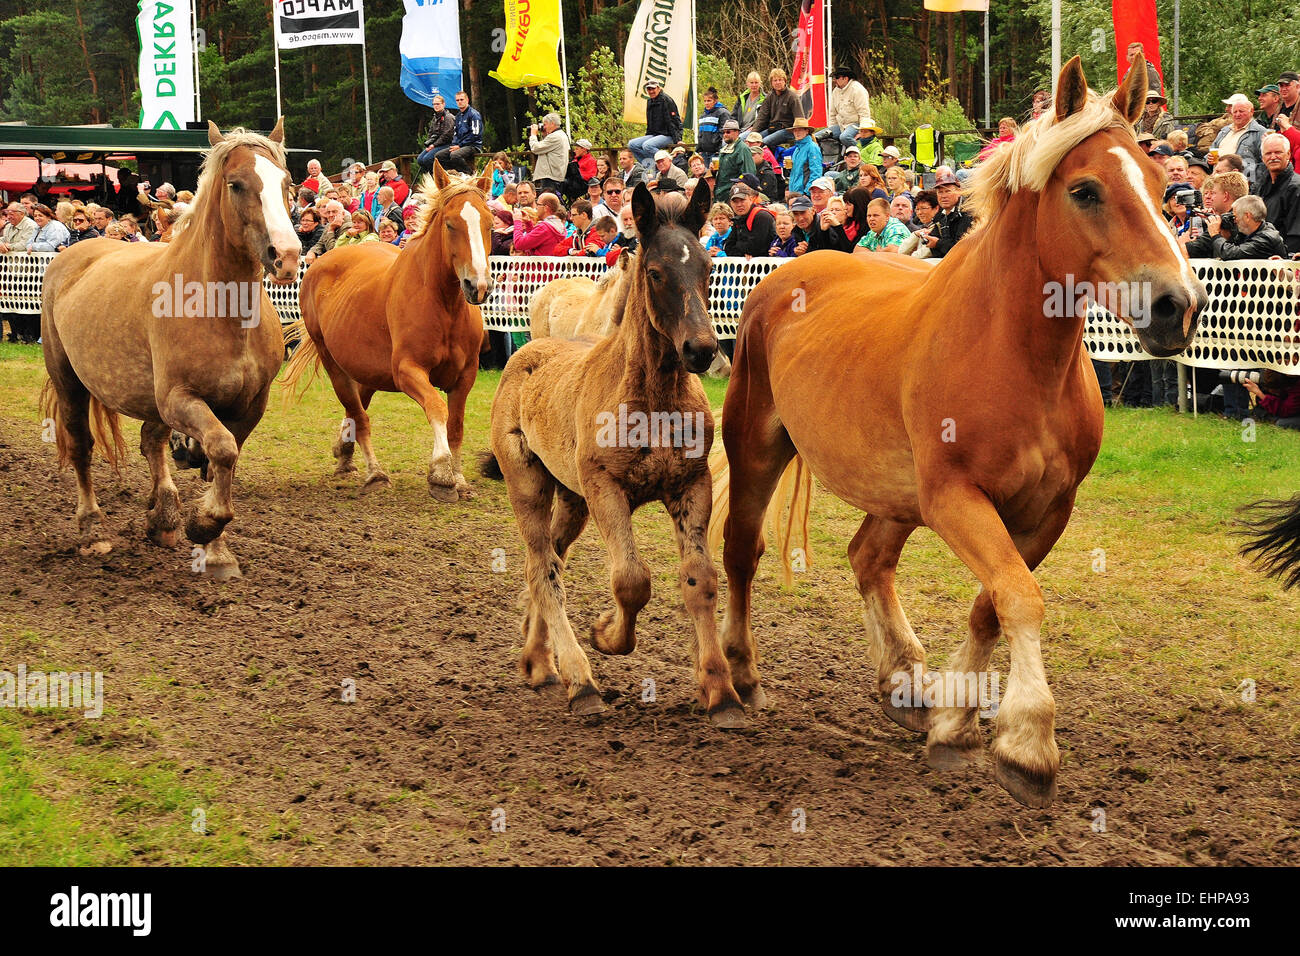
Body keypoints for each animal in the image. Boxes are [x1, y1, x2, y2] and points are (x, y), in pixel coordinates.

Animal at [41, 120, 299, 580]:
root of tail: (74, 251)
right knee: (82, 446)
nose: (286, 256)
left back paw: (162, 517)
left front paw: (215, 550)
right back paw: (93, 530)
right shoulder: (180, 398)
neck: (220, 308)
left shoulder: (250, 405)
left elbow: (221, 460)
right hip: (70, 381)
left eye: (286, 182)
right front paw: (205, 527)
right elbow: (222, 450)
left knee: (151, 441)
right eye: (236, 184)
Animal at [282, 161, 492, 500]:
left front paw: (459, 479)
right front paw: (441, 473)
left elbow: (456, 425)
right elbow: (437, 409)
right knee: (359, 415)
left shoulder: (466, 375)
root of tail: (323, 261)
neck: (443, 303)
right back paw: (375, 472)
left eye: (489, 224)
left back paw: (344, 451)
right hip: (334, 363)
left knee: (357, 409)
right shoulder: (407, 371)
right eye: (450, 225)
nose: (478, 286)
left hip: (367, 370)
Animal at [483, 182, 747, 725]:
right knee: (544, 568)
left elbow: (701, 580)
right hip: (529, 485)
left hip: (572, 499)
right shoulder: (607, 487)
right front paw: (606, 633)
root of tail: (523, 354)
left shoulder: (691, 486)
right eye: (655, 272)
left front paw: (721, 691)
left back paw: (538, 660)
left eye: (709, 268)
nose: (701, 349)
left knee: (547, 562)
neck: (655, 400)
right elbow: (631, 579)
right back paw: (578, 680)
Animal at [710, 55, 1207, 808]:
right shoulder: (955, 498)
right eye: (1086, 190)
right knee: (743, 552)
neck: (1015, 356)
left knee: (868, 558)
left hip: (896, 495)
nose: (1178, 304)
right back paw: (740, 679)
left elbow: (992, 605)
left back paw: (906, 681)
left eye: (1157, 183)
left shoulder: (1044, 512)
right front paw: (1028, 743)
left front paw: (955, 720)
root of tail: (791, 268)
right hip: (759, 447)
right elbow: (1018, 598)